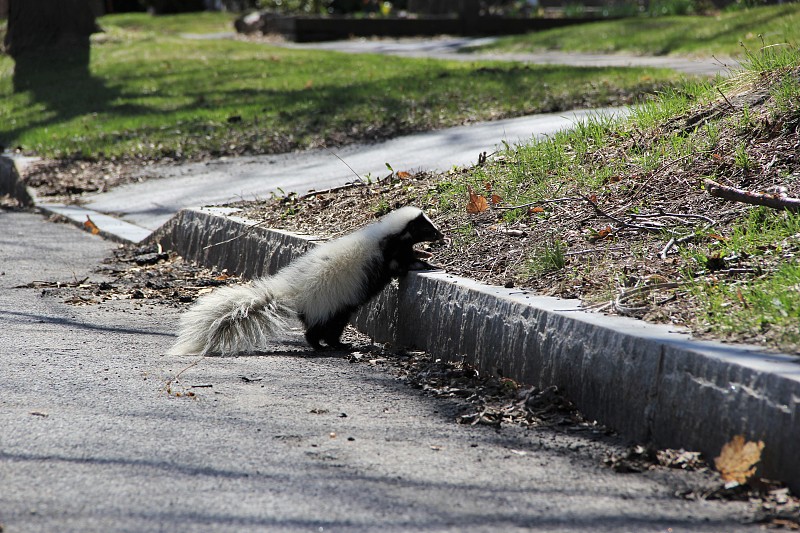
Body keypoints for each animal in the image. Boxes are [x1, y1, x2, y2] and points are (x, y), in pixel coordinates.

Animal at [170, 206, 444, 356]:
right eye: (427, 228)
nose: (441, 235)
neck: (388, 233)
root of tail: (294, 294)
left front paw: (426, 257)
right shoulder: (389, 254)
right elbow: (401, 264)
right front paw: (427, 264)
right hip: (332, 307)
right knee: (320, 331)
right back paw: (331, 346)